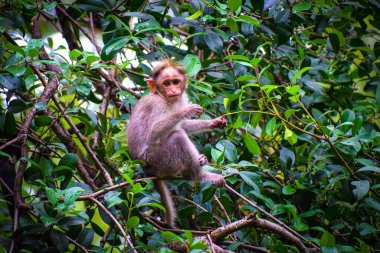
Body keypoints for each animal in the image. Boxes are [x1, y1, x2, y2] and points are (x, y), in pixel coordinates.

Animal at [126, 60, 227, 226]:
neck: (164, 98)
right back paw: (199, 175)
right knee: (177, 137)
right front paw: (187, 110)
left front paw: (214, 123)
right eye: (166, 83)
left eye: (175, 82)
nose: (173, 90)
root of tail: (147, 170)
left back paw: (199, 161)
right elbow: (153, 133)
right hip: (158, 161)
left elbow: (182, 125)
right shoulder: (157, 105)